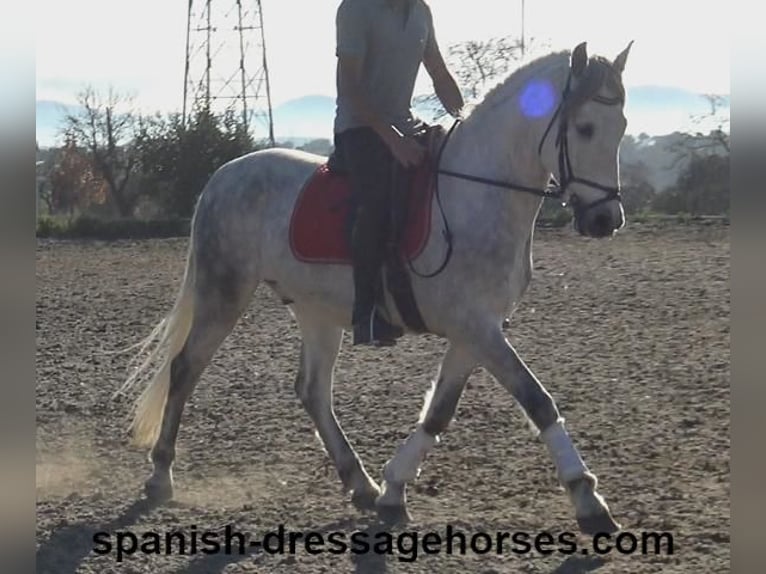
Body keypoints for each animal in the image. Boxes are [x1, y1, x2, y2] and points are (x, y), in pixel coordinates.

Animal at [121, 42, 636, 536]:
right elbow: (538, 401)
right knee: (185, 368)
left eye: (622, 126)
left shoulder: (477, 330)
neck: (480, 195)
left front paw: (393, 490)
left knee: (312, 390)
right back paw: (160, 476)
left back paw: (361, 483)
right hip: (224, 291)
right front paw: (588, 501)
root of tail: (224, 176)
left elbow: (440, 412)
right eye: (585, 128)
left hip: (316, 310)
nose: (605, 220)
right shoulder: (476, 327)